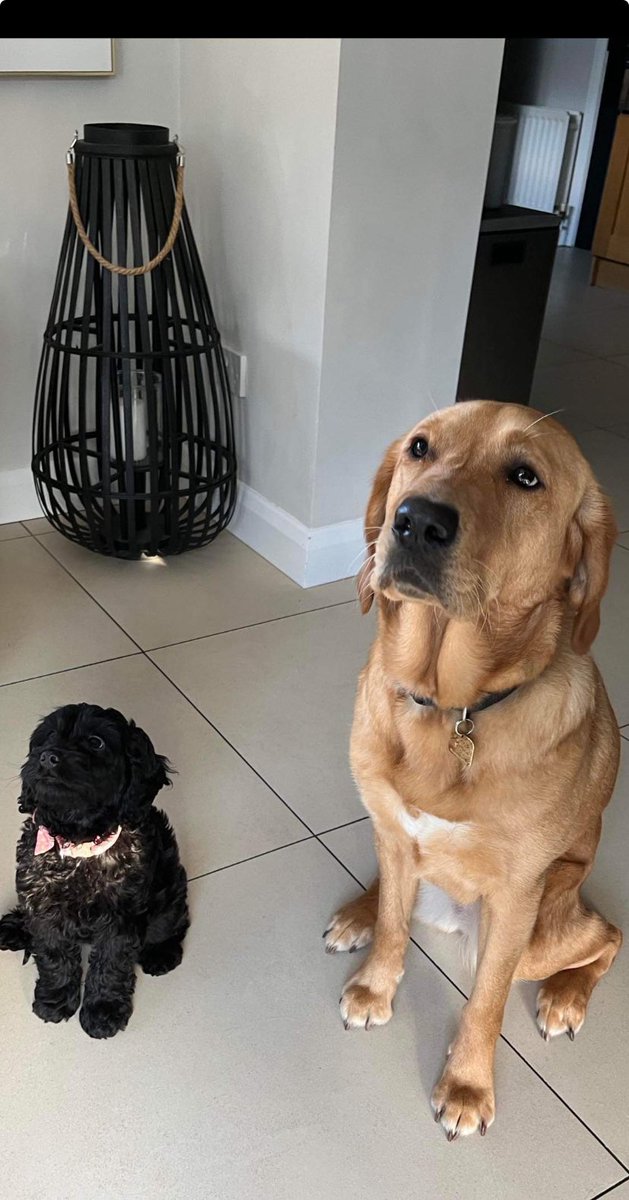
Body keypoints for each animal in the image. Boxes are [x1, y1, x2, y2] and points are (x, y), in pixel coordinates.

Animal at [0, 705, 188, 1036]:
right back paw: (16, 927)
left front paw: (104, 1011)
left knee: (172, 920)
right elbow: (54, 956)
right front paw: (55, 1000)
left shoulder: (121, 921)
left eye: (96, 742)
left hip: (170, 885)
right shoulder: (44, 910)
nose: (47, 757)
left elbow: (110, 966)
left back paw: (161, 952)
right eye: (48, 736)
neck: (78, 847)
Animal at [326, 398, 619, 1137]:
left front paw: (465, 1085)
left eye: (525, 476)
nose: (415, 520)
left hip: (543, 927)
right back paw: (360, 911)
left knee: (606, 936)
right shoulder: (395, 831)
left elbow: (484, 1003)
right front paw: (375, 983)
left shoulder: (514, 899)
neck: (453, 705)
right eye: (419, 448)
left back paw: (566, 995)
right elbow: (393, 926)